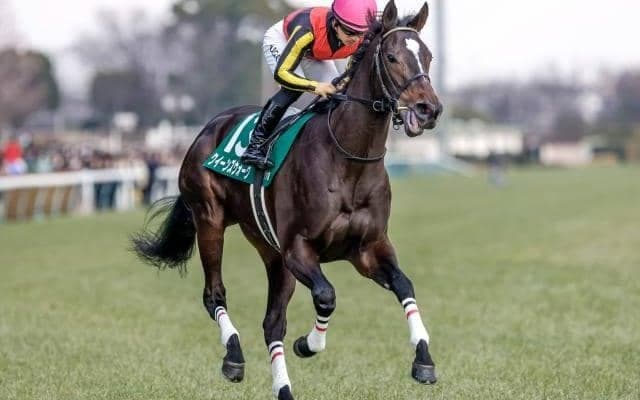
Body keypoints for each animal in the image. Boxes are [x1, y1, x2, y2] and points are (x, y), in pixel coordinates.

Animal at [131, 1, 442, 399]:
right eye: (391, 57)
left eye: (428, 56)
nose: (428, 110)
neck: (349, 160)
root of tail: (208, 128)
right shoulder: (299, 248)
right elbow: (326, 295)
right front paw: (309, 344)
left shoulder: (368, 248)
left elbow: (404, 285)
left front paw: (424, 359)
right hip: (210, 221)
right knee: (214, 294)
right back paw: (233, 356)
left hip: (270, 251)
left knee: (271, 323)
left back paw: (282, 389)